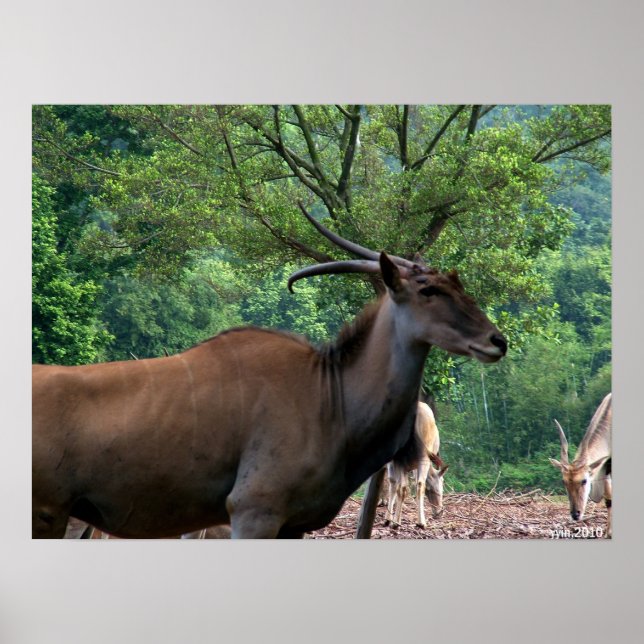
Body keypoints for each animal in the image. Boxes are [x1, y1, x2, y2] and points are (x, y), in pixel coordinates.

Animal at [32, 204, 506, 539]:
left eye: (458, 281)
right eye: (429, 289)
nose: (497, 341)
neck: (328, 394)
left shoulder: (291, 526)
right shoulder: (254, 512)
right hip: (49, 517)